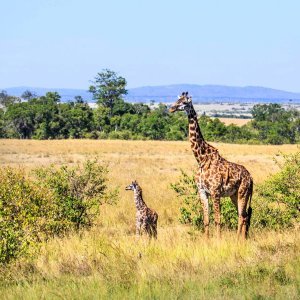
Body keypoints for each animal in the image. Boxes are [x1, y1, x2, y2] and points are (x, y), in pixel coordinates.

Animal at [169, 91, 253, 239]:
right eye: (177, 99)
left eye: (184, 102)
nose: (171, 108)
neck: (201, 159)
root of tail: (252, 178)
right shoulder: (202, 191)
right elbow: (206, 219)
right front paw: (206, 240)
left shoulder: (215, 191)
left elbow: (218, 219)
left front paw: (218, 240)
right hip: (234, 195)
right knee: (243, 215)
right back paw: (243, 239)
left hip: (243, 192)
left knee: (242, 216)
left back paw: (238, 239)